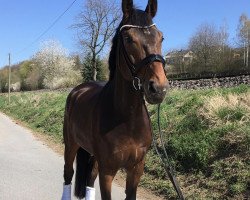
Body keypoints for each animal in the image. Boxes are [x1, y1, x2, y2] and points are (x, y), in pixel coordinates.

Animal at [61, 0, 169, 198]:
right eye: (128, 38)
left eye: (161, 37)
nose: (158, 88)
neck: (128, 118)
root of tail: (78, 90)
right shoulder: (108, 171)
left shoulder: (136, 169)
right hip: (71, 145)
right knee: (68, 175)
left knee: (89, 179)